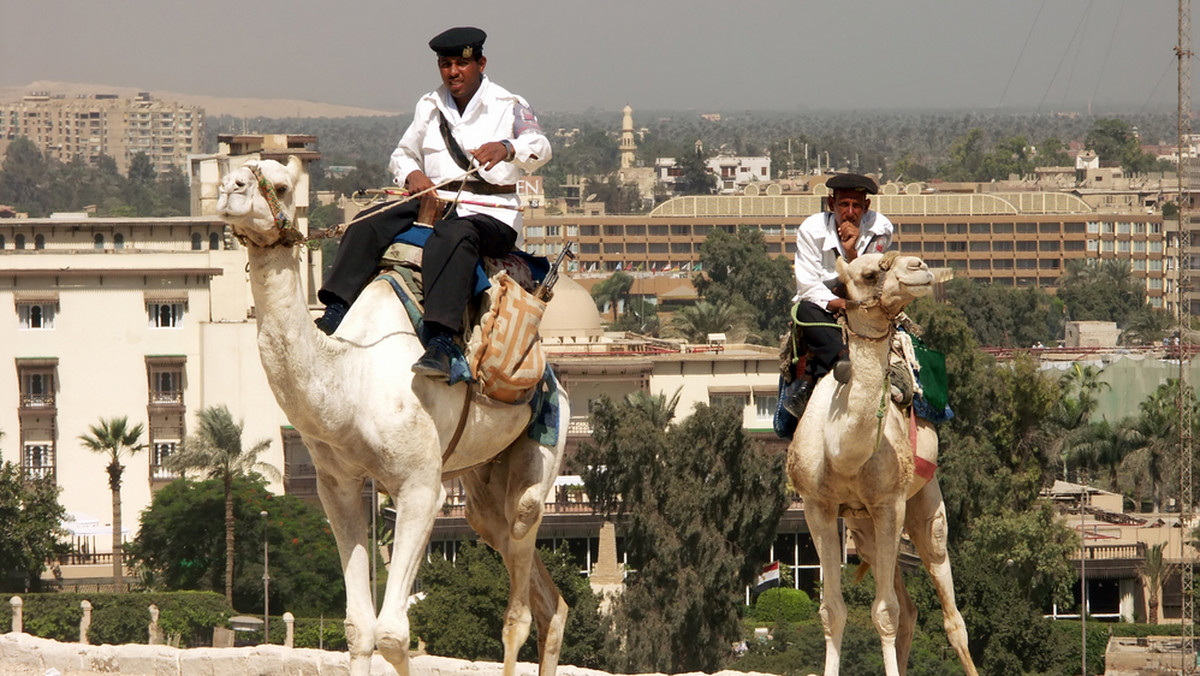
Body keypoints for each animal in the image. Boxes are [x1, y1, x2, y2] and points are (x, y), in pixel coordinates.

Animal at [217, 156, 571, 676]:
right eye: (236, 171)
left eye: (280, 185)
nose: (230, 188)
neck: (349, 375)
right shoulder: (337, 484)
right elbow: (360, 629)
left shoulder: (421, 486)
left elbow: (393, 635)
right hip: (483, 486)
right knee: (546, 598)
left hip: (543, 444)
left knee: (521, 598)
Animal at [787, 250, 974, 672]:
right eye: (870, 273)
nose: (919, 267)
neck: (842, 453)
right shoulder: (817, 507)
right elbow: (832, 611)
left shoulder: (890, 504)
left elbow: (884, 611)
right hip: (862, 527)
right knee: (910, 610)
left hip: (923, 506)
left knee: (951, 615)